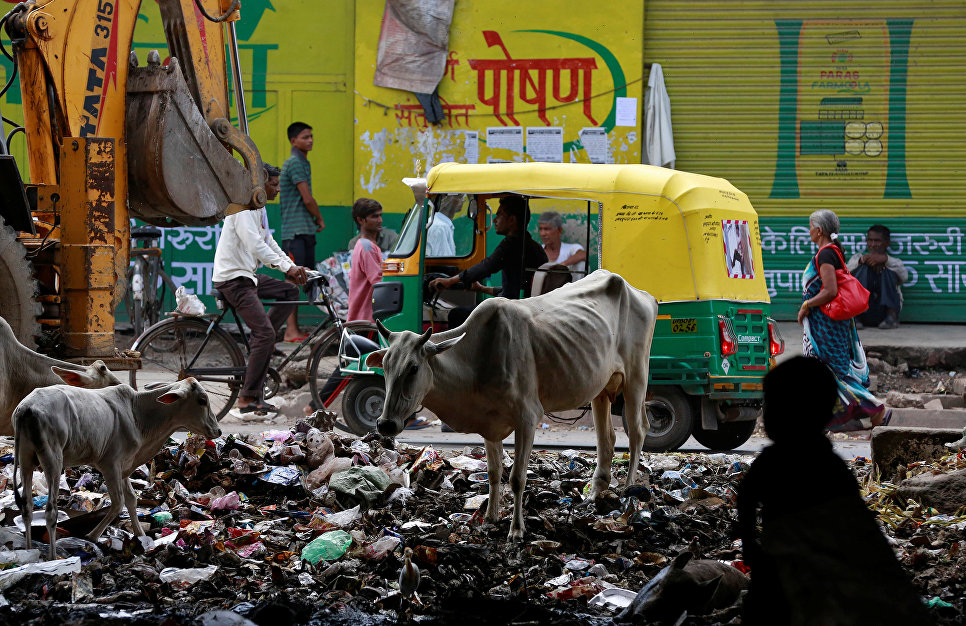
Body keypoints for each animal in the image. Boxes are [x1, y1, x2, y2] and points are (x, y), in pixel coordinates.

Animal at [13, 376, 222, 556]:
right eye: (202, 400)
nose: (218, 430)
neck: (139, 415)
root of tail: (27, 408)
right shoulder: (110, 464)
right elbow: (118, 502)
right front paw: (91, 536)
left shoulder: (123, 467)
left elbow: (131, 499)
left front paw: (141, 536)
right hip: (53, 460)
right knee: (51, 511)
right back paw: (52, 557)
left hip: (25, 458)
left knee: (27, 507)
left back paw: (29, 550)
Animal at [366, 268, 660, 536]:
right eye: (385, 366)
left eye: (414, 368)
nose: (385, 424)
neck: (478, 356)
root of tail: (641, 293)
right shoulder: (489, 424)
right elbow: (494, 473)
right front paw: (490, 518)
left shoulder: (527, 418)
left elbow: (517, 478)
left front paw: (516, 530)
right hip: (600, 388)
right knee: (606, 439)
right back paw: (595, 492)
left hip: (636, 377)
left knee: (637, 430)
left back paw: (628, 491)